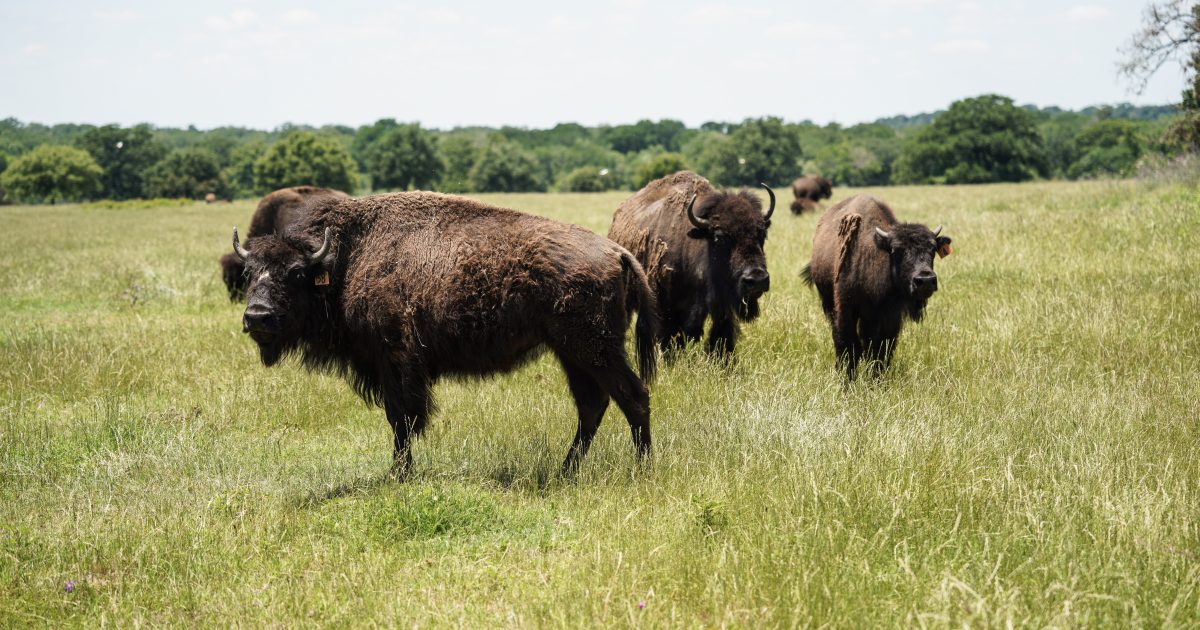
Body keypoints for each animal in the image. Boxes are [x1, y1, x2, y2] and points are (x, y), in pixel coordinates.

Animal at [229, 189, 662, 475]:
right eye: (249, 273)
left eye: (295, 273)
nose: (257, 316)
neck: (345, 258)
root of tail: (618, 252)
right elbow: (401, 421)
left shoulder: (396, 362)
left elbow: (402, 420)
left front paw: (399, 474)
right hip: (571, 353)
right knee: (592, 406)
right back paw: (565, 470)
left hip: (594, 349)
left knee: (633, 396)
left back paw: (641, 469)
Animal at [609, 170, 777, 357]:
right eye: (719, 237)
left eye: (762, 233)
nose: (757, 279)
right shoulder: (667, 307)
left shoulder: (720, 307)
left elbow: (721, 335)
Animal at [801, 194, 950, 376]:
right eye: (896, 250)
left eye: (933, 249)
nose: (925, 280)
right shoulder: (846, 308)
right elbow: (849, 345)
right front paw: (847, 377)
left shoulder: (889, 315)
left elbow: (882, 347)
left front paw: (876, 376)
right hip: (829, 302)